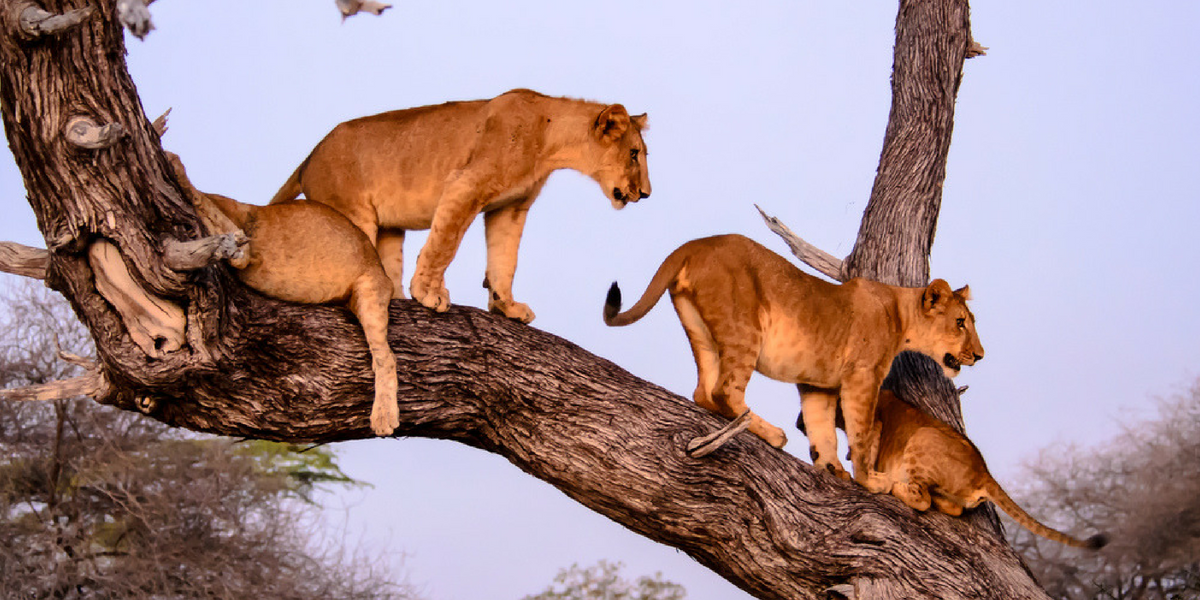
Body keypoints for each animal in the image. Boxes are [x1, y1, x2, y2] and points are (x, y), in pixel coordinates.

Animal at [167, 153, 400, 437]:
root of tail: (379, 266)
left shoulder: (242, 234)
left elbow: (202, 200)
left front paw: (173, 161)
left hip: (370, 289)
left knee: (386, 357)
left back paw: (384, 416)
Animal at [270, 88, 652, 324]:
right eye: (634, 154)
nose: (646, 193)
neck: (551, 138)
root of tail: (308, 158)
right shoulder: (465, 185)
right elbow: (444, 244)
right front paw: (428, 293)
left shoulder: (510, 208)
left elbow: (505, 261)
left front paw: (507, 306)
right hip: (351, 213)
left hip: (388, 229)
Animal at [603, 234, 984, 486]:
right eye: (960, 322)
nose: (980, 355)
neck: (901, 315)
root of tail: (695, 243)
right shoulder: (862, 377)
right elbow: (860, 432)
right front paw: (869, 480)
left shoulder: (818, 383)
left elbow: (822, 430)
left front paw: (832, 470)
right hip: (744, 328)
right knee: (725, 390)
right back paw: (773, 435)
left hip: (701, 332)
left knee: (704, 392)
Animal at [863, 390, 1107, 549]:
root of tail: (984, 471)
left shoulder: (873, 421)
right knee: (951, 506)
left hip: (924, 436)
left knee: (921, 499)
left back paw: (892, 484)